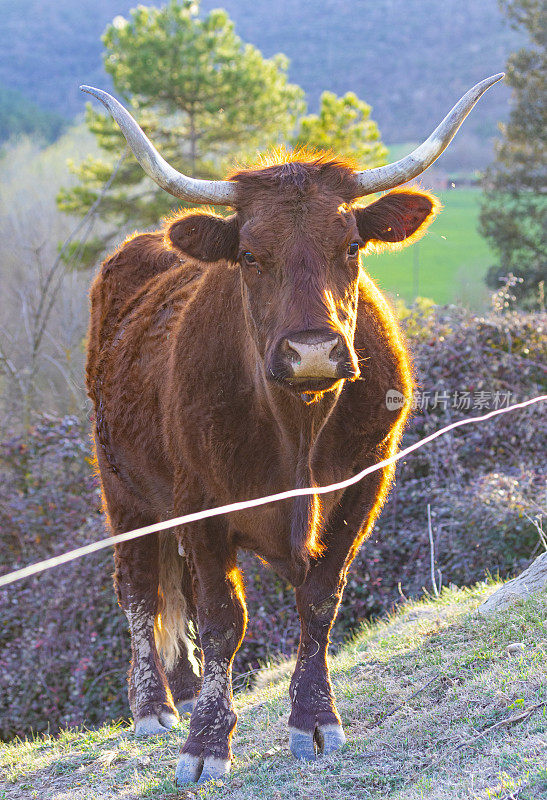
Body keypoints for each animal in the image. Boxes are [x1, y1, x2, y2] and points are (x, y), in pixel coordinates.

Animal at [82, 72, 506, 784]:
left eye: (352, 245)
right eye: (250, 255)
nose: (312, 351)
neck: (298, 428)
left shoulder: (366, 483)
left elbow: (319, 597)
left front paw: (314, 719)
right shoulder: (201, 502)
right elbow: (224, 619)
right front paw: (205, 744)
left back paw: (191, 694)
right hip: (125, 489)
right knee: (139, 590)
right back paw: (156, 709)